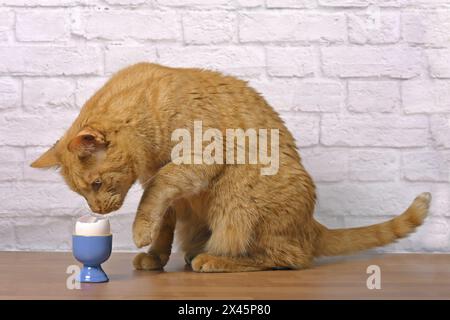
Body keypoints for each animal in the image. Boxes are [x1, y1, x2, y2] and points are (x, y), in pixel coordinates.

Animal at [29, 63, 430, 272]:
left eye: (96, 184)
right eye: (81, 192)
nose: (98, 211)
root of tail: (311, 225)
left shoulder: (195, 162)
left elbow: (156, 190)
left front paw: (140, 231)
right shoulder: (175, 197)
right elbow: (163, 221)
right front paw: (155, 256)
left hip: (238, 194)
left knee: (287, 258)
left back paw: (214, 259)